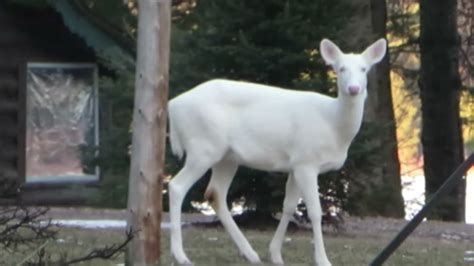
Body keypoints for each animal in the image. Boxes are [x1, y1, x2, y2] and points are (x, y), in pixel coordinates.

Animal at [168, 38, 386, 266]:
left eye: (364, 69)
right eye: (340, 68)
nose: (353, 88)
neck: (334, 125)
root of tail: (171, 105)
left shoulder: (296, 164)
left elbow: (289, 206)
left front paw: (275, 254)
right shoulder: (307, 161)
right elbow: (315, 212)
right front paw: (322, 260)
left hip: (226, 157)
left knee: (215, 193)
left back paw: (251, 254)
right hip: (203, 147)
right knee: (177, 186)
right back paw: (181, 255)